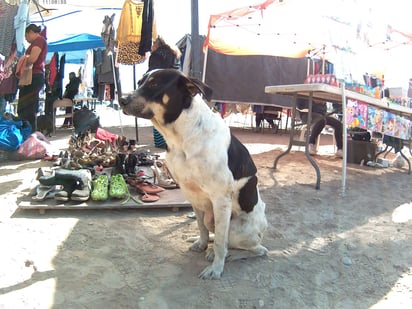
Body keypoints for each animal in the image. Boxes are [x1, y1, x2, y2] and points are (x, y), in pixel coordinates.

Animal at [117, 68, 268, 278]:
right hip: (212, 217)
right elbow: (202, 227)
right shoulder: (192, 194)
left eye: (154, 84)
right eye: (139, 82)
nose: (121, 100)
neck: (183, 135)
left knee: (257, 249)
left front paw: (216, 268)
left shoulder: (221, 198)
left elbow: (220, 242)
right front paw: (202, 244)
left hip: (237, 229)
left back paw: (229, 255)